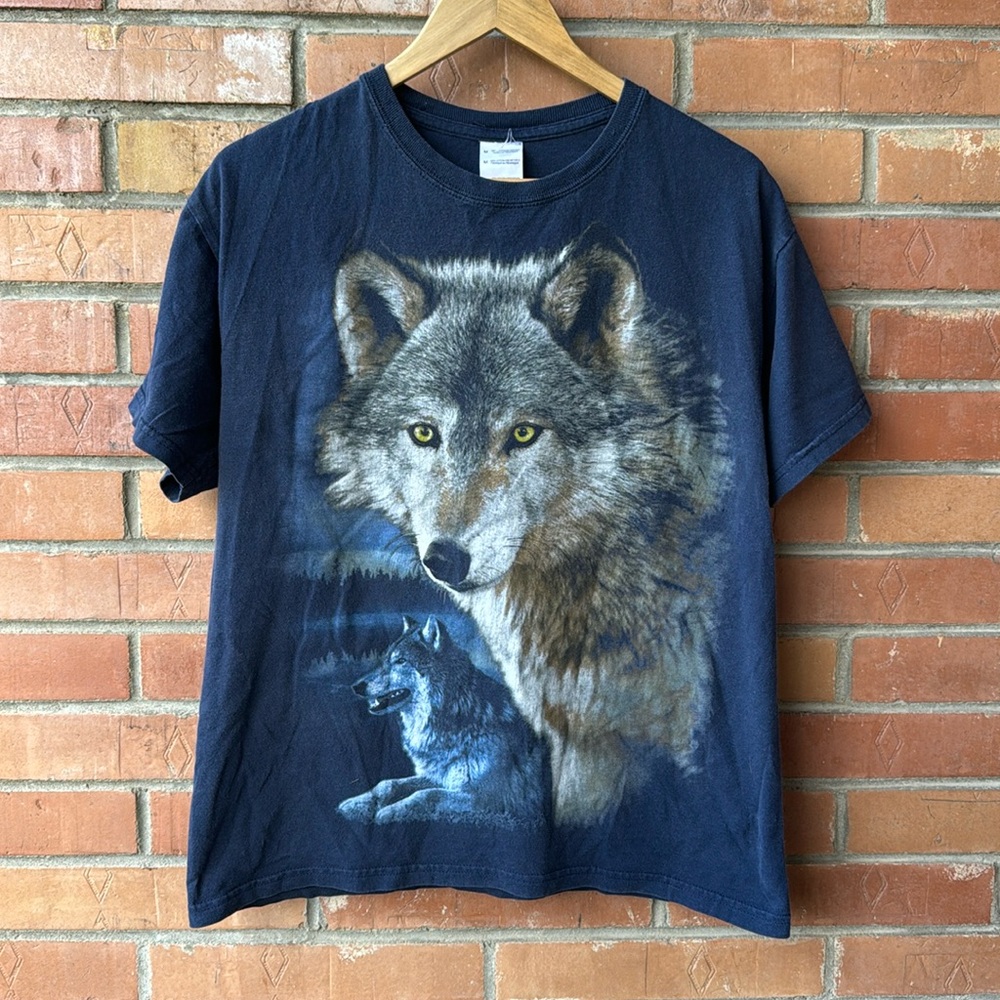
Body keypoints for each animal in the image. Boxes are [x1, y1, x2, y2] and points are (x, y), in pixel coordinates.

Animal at [338, 614, 545, 827]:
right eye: (385, 659)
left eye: (400, 661)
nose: (357, 686)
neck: (458, 716)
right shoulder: (438, 776)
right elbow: (387, 784)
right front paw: (356, 804)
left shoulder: (486, 798)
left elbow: (427, 795)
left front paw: (389, 812)